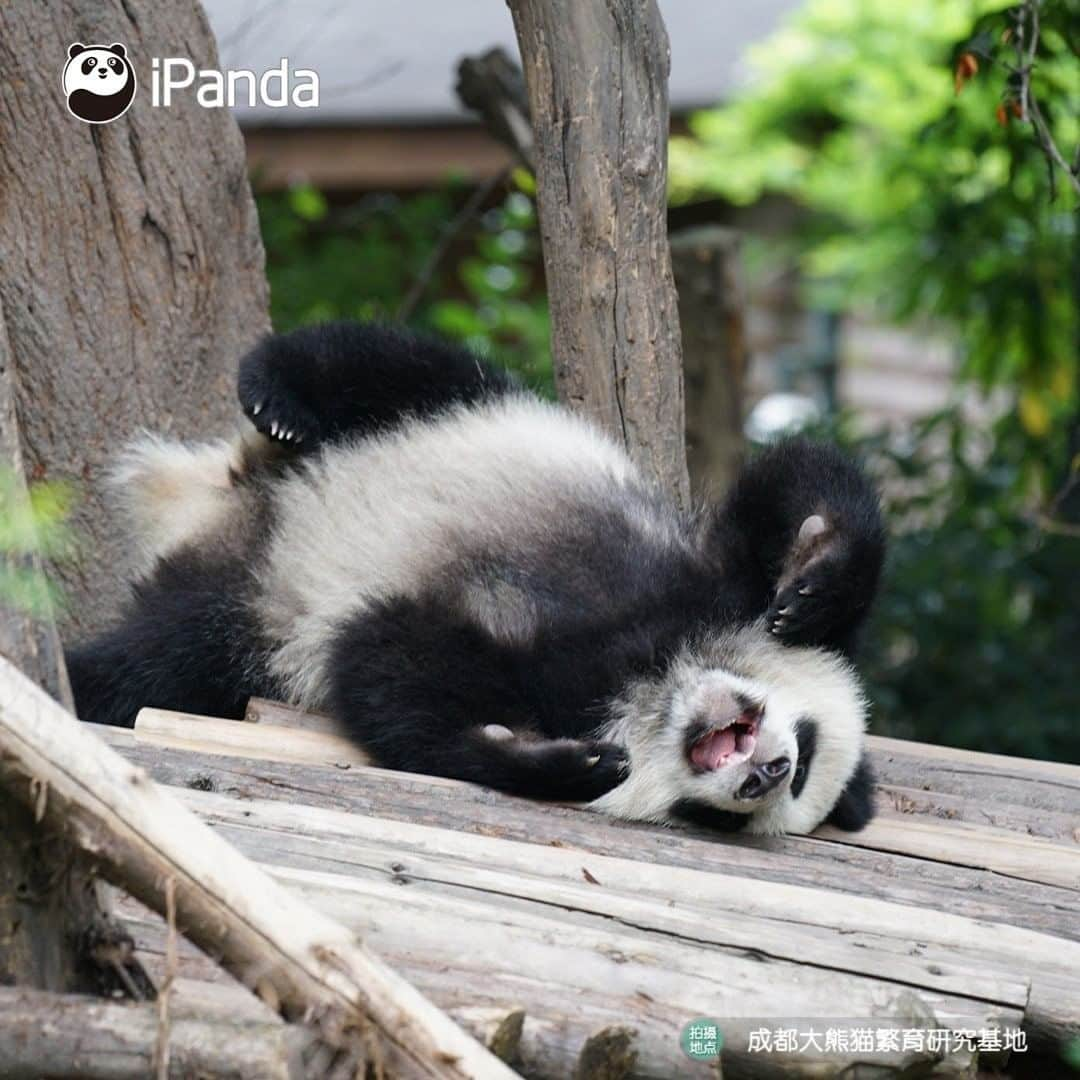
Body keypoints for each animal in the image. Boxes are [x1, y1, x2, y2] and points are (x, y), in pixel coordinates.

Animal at [71, 319, 885, 833]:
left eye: (718, 814)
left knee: (160, 660)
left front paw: (563, 761)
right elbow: (799, 485)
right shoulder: (699, 575)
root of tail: (231, 506)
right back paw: (279, 399)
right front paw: (814, 591)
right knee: (392, 368)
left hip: (241, 615)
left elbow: (386, 665)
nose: (767, 772)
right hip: (452, 415)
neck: (654, 675)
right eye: (806, 750)